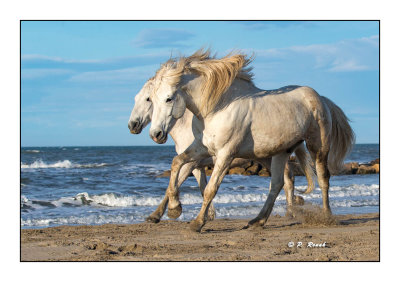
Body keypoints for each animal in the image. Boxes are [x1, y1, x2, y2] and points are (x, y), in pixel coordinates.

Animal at [128, 74, 316, 224]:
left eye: (148, 99)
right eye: (137, 98)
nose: (132, 125)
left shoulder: (191, 164)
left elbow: (175, 185)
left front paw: (159, 215)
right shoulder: (197, 165)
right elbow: (201, 186)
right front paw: (208, 215)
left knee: (288, 178)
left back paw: (290, 213)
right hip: (266, 157)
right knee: (285, 178)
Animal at [148, 50, 354, 231]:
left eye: (168, 99)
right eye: (151, 99)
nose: (155, 134)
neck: (217, 107)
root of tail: (321, 98)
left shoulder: (225, 154)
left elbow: (210, 189)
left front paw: (197, 223)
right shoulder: (201, 148)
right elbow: (176, 163)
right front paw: (174, 209)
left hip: (318, 147)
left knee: (323, 178)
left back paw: (326, 216)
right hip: (281, 152)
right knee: (277, 184)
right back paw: (258, 221)